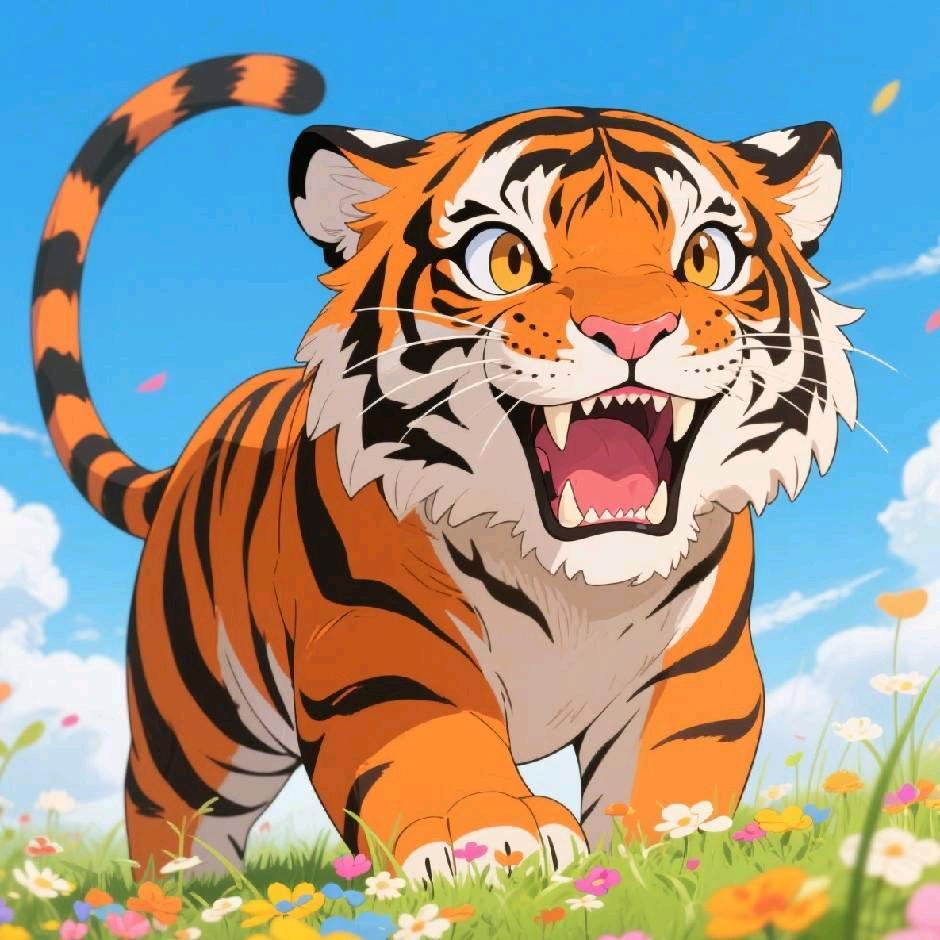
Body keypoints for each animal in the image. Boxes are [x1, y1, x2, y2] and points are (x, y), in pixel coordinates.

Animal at [31, 53, 861, 883]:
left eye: (704, 256)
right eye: (506, 259)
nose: (632, 330)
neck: (579, 590)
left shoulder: (694, 674)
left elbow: (669, 785)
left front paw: (665, 861)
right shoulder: (381, 649)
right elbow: (438, 748)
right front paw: (488, 840)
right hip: (194, 715)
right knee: (171, 819)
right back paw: (181, 896)